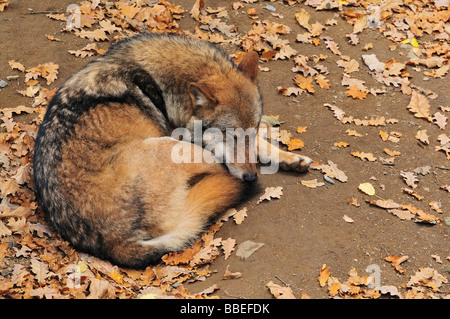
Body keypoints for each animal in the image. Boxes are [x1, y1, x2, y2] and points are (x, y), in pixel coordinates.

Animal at [33, 33, 312, 270]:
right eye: (230, 136)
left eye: (249, 132)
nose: (252, 177)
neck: (158, 82)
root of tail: (114, 244)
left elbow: (261, 143)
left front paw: (290, 157)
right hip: (172, 146)